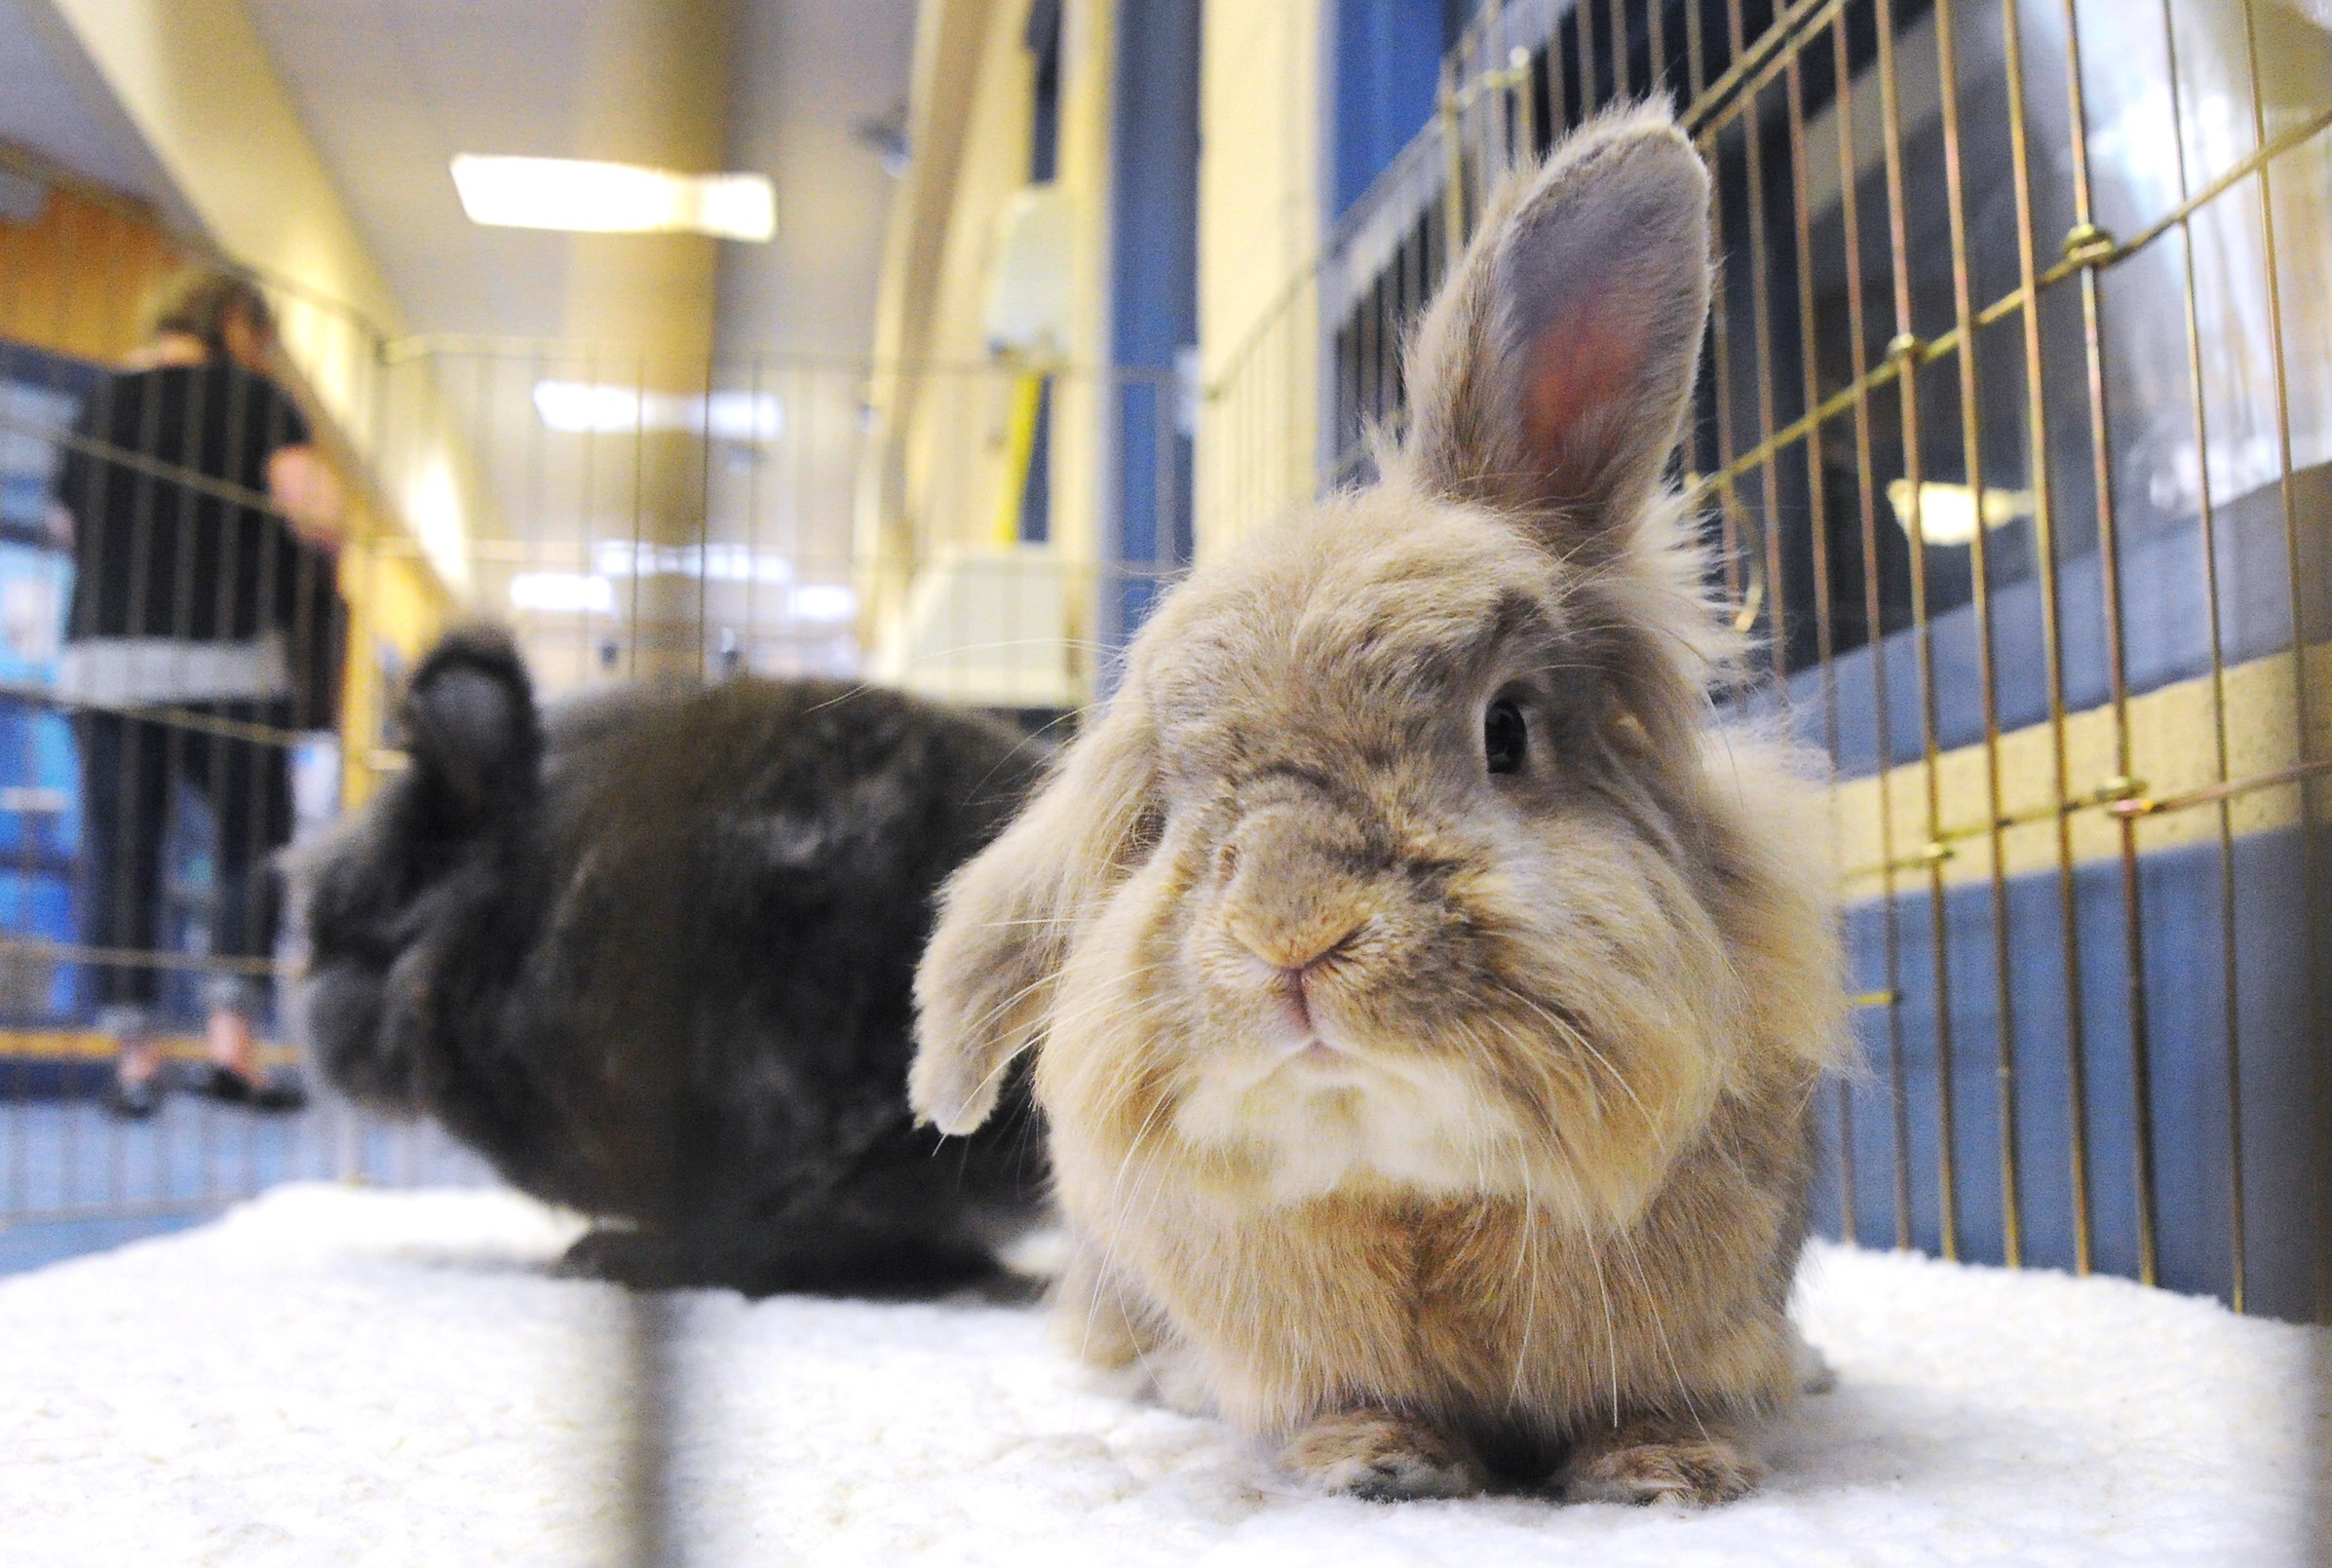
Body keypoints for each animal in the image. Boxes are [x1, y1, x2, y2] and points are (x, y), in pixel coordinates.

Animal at [908, 104, 1846, 1504]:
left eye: (1505, 732)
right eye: (1170, 805)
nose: (1294, 933)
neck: (1415, 1193)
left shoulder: (1697, 1326)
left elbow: (1670, 1399)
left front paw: (1662, 1474)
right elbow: (1341, 1404)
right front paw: (1375, 1465)